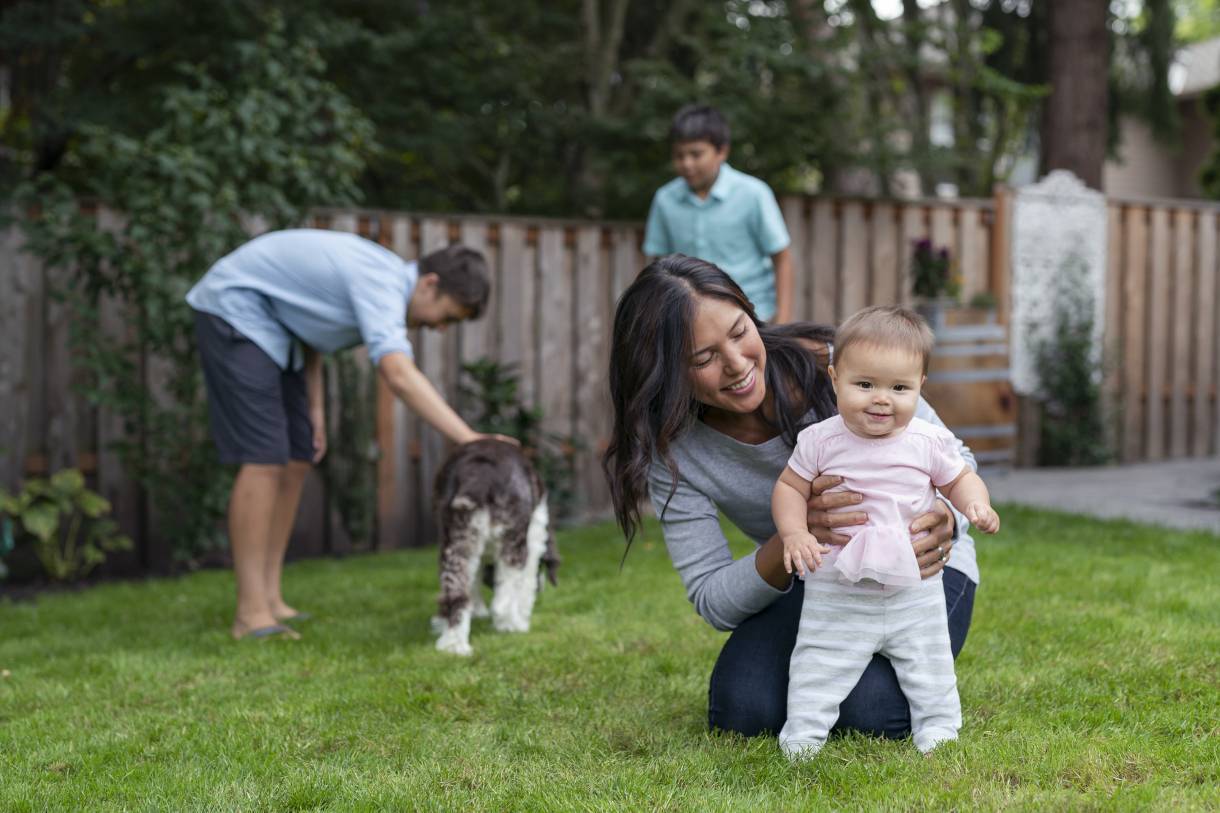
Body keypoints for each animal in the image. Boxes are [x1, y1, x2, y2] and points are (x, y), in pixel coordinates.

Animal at [431, 437, 558, 654]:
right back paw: (513, 626)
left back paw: (453, 645)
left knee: (455, 596)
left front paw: (477, 611)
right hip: (513, 540)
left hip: (456, 541)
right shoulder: (534, 540)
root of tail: (477, 475)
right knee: (502, 602)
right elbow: (526, 584)